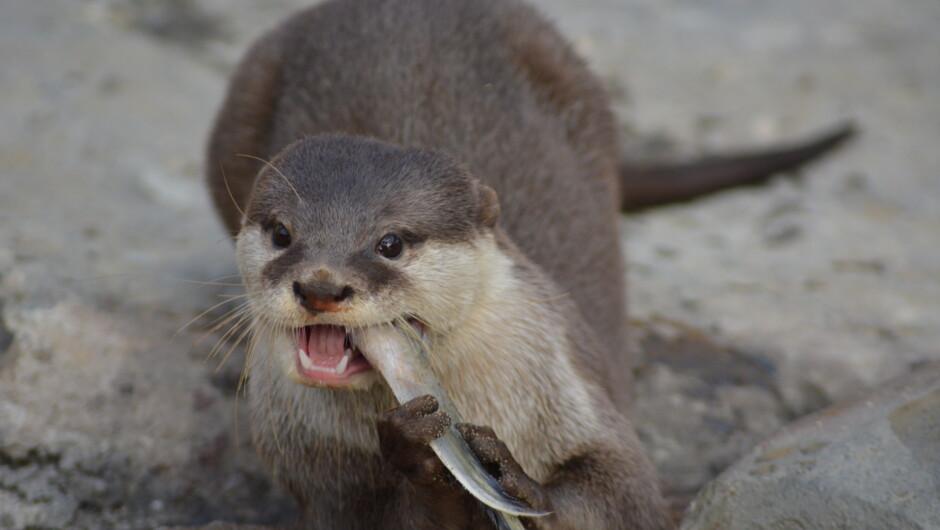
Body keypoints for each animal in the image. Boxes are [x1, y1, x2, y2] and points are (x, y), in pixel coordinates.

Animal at [206, 0, 852, 524]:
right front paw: (416, 451)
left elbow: (624, 495)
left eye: (389, 242)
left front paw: (517, 479)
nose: (321, 285)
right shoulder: (313, 466)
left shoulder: (574, 391)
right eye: (283, 233)